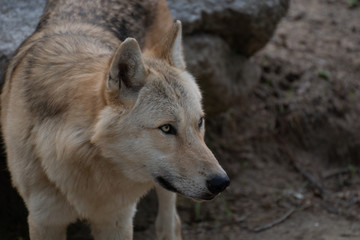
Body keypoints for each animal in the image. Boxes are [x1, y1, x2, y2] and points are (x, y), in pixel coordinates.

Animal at [1, 0, 229, 240]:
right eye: (167, 128)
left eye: (199, 122)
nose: (221, 182)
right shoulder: (44, 221)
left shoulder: (117, 220)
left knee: (170, 218)